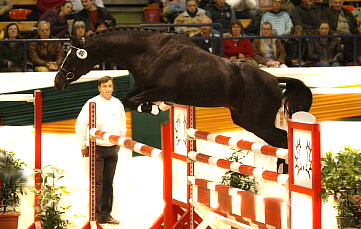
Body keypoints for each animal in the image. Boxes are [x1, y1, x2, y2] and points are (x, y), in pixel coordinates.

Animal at [54, 26, 310, 149]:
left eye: (73, 56)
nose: (57, 82)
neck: (149, 52)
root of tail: (275, 81)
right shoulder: (144, 88)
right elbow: (129, 99)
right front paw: (157, 107)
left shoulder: (162, 89)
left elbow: (135, 101)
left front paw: (157, 108)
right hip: (245, 120)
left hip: (257, 122)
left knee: (282, 139)